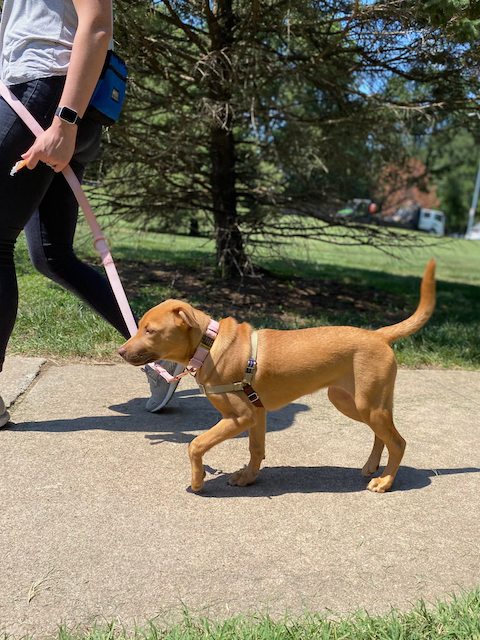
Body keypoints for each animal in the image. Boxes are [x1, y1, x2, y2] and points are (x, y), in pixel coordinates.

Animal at [119, 258, 436, 492]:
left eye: (150, 331)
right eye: (140, 326)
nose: (120, 351)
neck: (209, 348)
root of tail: (378, 335)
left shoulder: (240, 417)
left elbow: (195, 444)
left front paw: (198, 481)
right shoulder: (256, 414)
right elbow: (255, 449)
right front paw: (248, 477)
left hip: (368, 405)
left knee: (398, 442)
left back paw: (385, 481)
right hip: (352, 402)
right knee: (381, 436)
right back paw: (372, 467)